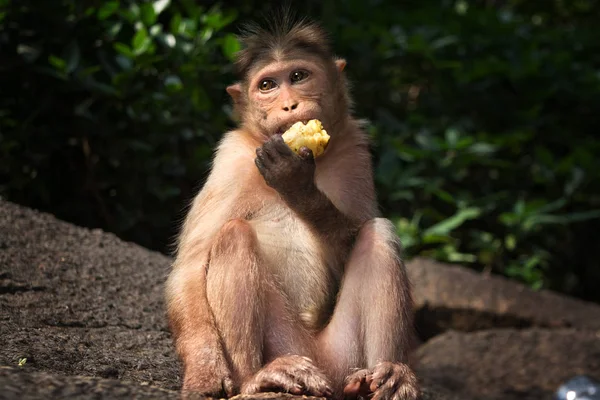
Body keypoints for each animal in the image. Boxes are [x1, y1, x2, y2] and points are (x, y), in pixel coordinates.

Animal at [162, 12, 420, 400]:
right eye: (267, 85)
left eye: (298, 76)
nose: (289, 106)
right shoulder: (230, 161)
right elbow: (190, 268)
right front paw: (205, 371)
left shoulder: (354, 151)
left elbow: (356, 234)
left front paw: (299, 185)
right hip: (287, 342)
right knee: (233, 236)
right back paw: (255, 379)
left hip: (342, 355)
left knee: (379, 233)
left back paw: (386, 376)